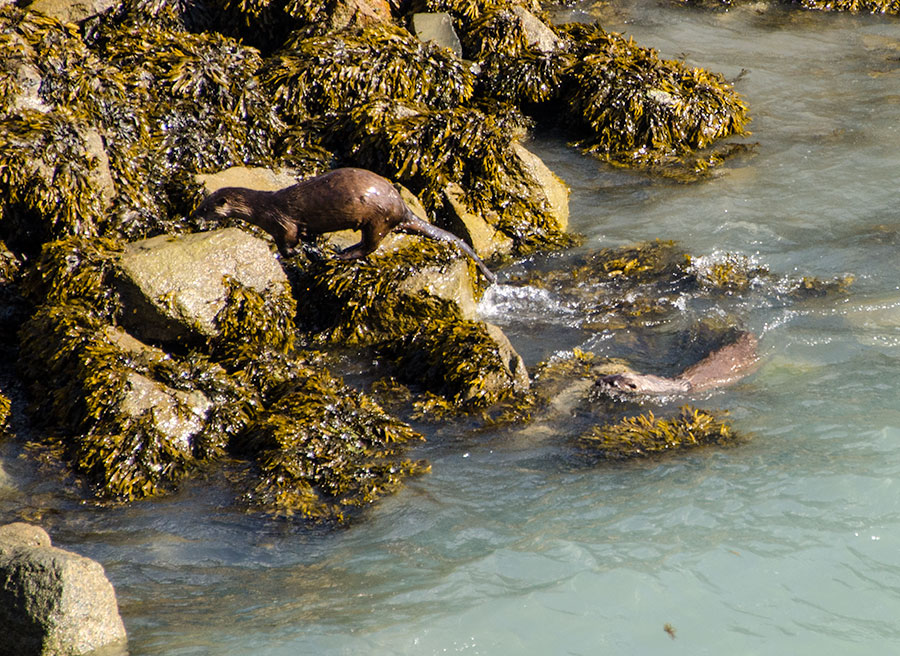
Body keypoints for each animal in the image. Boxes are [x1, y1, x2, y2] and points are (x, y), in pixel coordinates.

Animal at [192, 167, 497, 284]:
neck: (262, 207)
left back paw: (344, 253)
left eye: (205, 207)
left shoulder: (282, 221)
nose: (193, 216)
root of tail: (401, 207)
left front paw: (290, 254)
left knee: (371, 245)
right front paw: (310, 249)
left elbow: (288, 240)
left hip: (377, 218)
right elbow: (305, 236)